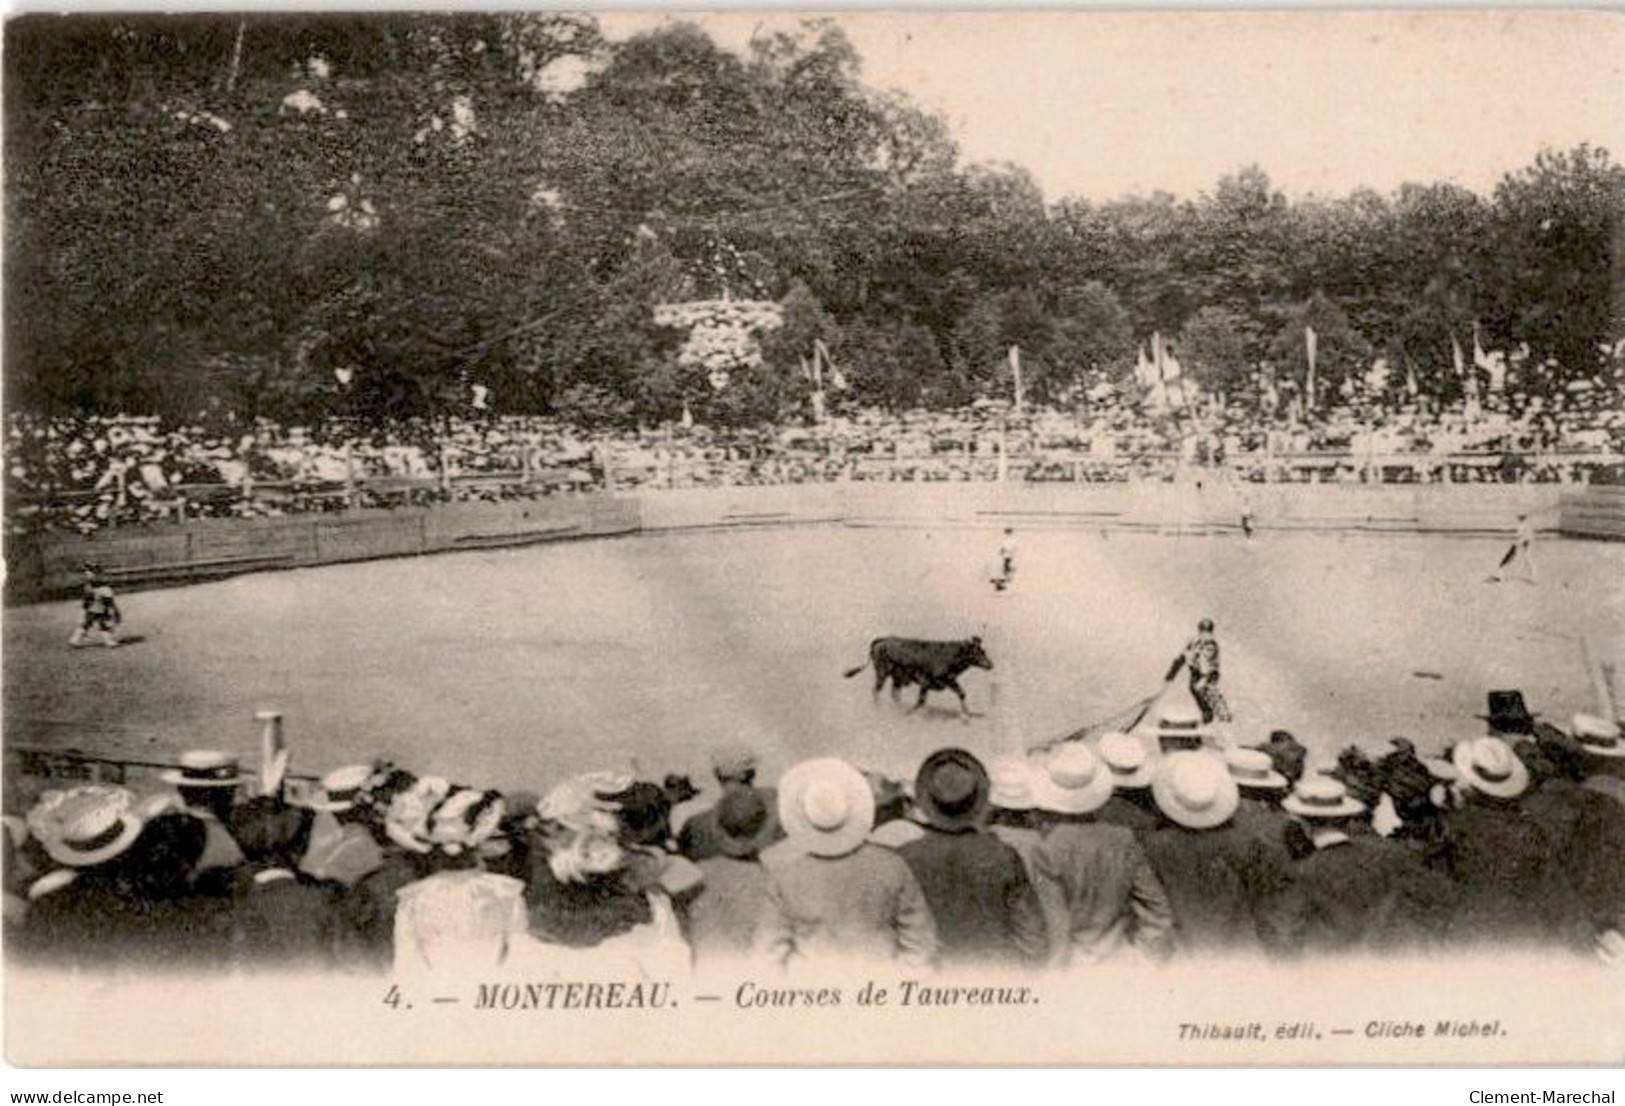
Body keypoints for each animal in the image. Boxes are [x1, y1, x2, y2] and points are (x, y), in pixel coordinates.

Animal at [845, 633, 994, 711]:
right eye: (980, 652)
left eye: (984, 651)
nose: (991, 664)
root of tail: (883, 639)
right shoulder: (926, 681)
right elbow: (921, 701)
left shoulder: (949, 680)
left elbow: (961, 693)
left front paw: (966, 715)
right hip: (882, 673)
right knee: (876, 690)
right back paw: (878, 709)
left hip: (896, 677)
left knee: (894, 693)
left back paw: (899, 709)